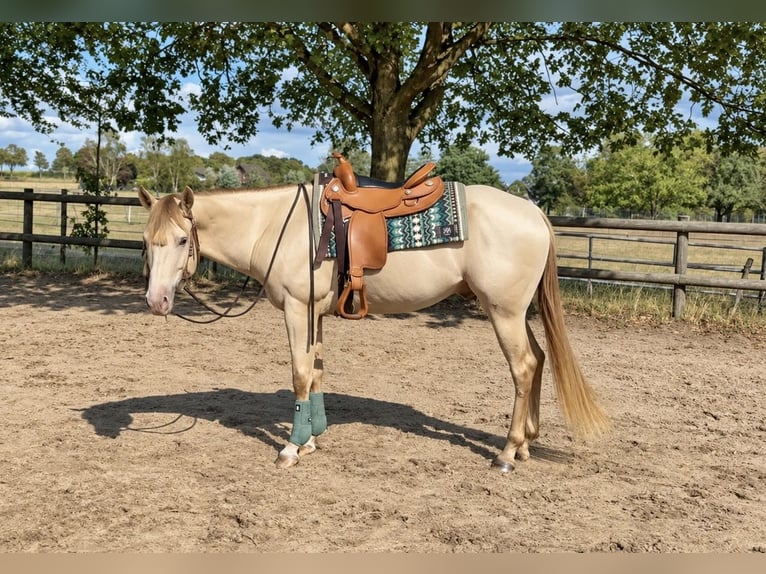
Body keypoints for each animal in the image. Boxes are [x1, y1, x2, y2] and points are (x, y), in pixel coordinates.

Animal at [137, 182, 609, 472]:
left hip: (504, 312)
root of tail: (533, 212)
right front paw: (312, 438)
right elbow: (317, 371)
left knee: (524, 367)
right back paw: (526, 444)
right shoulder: (315, 313)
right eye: (145, 240)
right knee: (540, 359)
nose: (157, 302)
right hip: (516, 311)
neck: (274, 227)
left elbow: (299, 373)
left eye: (182, 240)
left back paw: (507, 452)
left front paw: (290, 448)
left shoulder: (296, 309)